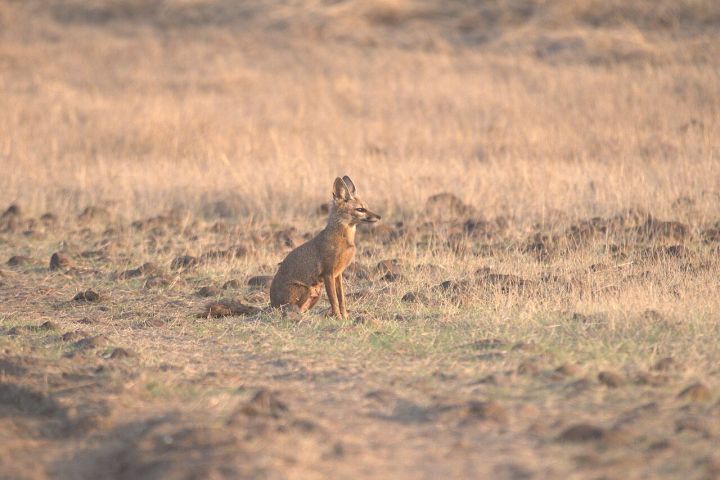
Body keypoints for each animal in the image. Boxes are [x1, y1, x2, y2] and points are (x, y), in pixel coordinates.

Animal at [269, 176, 381, 319]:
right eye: (360, 209)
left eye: (367, 207)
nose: (379, 216)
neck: (345, 240)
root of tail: (271, 304)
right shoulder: (328, 273)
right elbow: (334, 300)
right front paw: (338, 317)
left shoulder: (338, 274)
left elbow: (341, 299)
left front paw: (345, 317)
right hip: (307, 289)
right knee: (294, 310)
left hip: (316, 292)